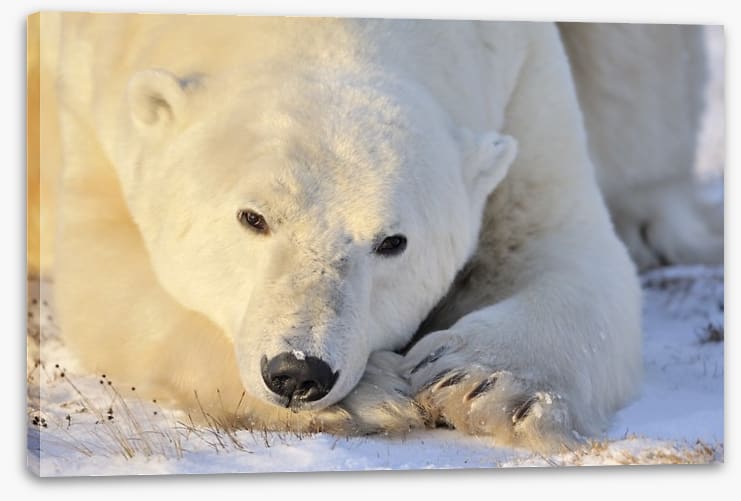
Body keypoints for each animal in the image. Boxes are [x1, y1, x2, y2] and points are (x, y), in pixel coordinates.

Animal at [31, 13, 721, 452]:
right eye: (252, 217)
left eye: (392, 243)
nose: (299, 372)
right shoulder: (95, 94)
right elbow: (107, 277)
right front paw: (374, 395)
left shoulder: (521, 79)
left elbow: (561, 244)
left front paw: (488, 387)